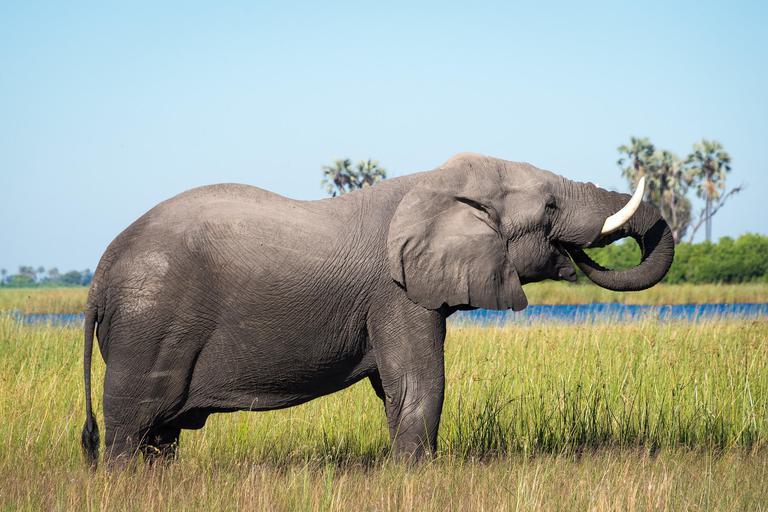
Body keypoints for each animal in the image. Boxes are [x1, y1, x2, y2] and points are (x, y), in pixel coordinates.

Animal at [81, 153, 674, 465]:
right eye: (549, 206)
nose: (575, 256)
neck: (436, 184)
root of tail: (100, 272)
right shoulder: (395, 293)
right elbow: (418, 382)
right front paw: (417, 477)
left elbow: (396, 388)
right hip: (149, 323)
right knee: (133, 425)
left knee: (160, 435)